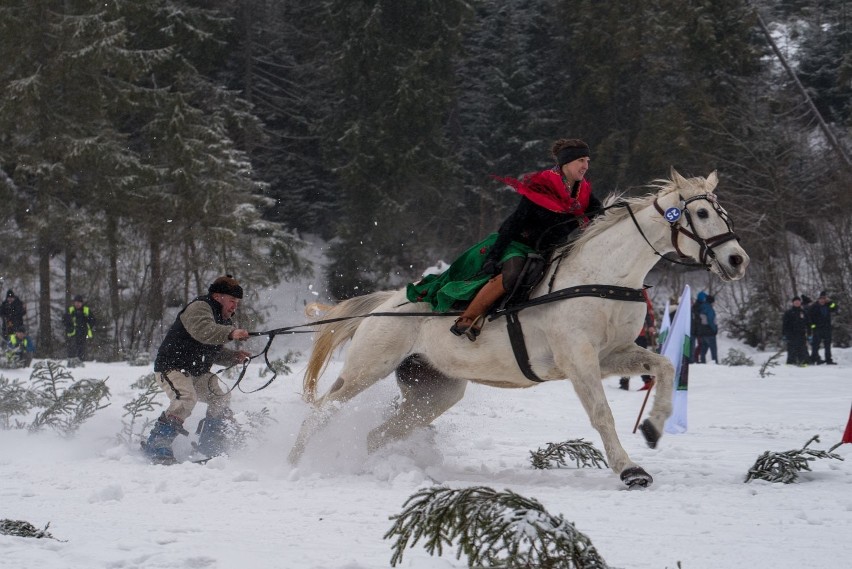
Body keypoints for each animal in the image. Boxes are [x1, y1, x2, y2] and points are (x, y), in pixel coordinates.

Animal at [290, 171, 748, 486]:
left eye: (722, 212)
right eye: (701, 212)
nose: (737, 260)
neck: (602, 276)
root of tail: (385, 303)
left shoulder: (609, 356)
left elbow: (664, 367)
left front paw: (653, 427)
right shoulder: (579, 359)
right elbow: (602, 414)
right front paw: (629, 469)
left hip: (435, 390)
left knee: (379, 433)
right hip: (367, 368)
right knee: (320, 410)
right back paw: (295, 461)